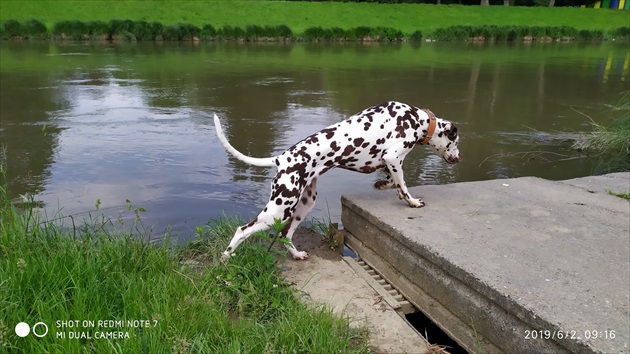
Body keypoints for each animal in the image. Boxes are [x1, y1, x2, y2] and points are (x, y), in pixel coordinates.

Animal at [215, 101, 462, 262]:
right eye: (456, 141)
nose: (459, 159)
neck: (417, 119)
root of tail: (282, 158)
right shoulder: (394, 157)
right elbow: (403, 184)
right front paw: (412, 201)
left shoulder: (388, 162)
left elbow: (393, 180)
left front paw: (383, 185)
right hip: (279, 209)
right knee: (242, 231)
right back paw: (225, 262)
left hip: (303, 205)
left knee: (285, 235)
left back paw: (297, 254)